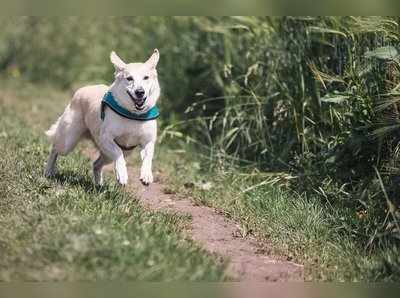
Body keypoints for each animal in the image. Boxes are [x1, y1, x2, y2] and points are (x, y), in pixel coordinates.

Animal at [44, 49, 161, 186]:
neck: (133, 115)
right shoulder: (106, 138)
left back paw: (98, 185)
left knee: (96, 164)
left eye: (146, 77)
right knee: (54, 148)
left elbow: (148, 158)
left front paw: (146, 175)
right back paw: (48, 171)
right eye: (129, 78)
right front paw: (122, 175)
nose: (140, 92)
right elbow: (118, 153)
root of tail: (82, 89)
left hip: (115, 153)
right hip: (68, 141)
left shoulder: (148, 142)